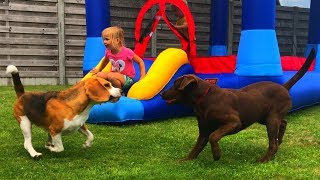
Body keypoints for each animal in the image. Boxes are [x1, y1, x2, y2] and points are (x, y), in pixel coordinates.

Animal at [161, 48, 316, 162]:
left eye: (175, 84)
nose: (162, 93)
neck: (204, 99)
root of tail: (284, 87)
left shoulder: (234, 122)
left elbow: (214, 136)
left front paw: (216, 155)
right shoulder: (204, 130)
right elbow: (197, 147)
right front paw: (186, 160)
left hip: (271, 119)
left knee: (273, 144)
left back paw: (264, 159)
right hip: (264, 117)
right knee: (283, 123)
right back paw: (280, 139)